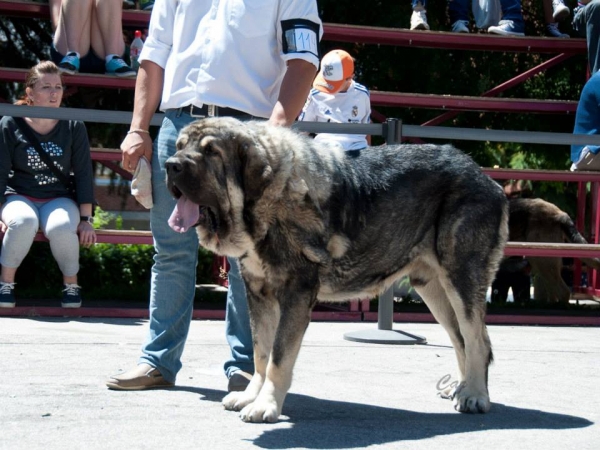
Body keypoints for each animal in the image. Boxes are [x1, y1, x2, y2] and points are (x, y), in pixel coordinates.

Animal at [166, 116, 508, 422]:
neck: (267, 198)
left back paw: (475, 396)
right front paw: (251, 395)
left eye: (211, 151)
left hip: (461, 278)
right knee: (462, 339)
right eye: (181, 146)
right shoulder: (259, 294)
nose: (171, 165)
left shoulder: (296, 294)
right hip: (433, 288)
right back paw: (463, 389)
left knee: (477, 340)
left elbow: (278, 357)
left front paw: (266, 406)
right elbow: (261, 353)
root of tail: (486, 178)